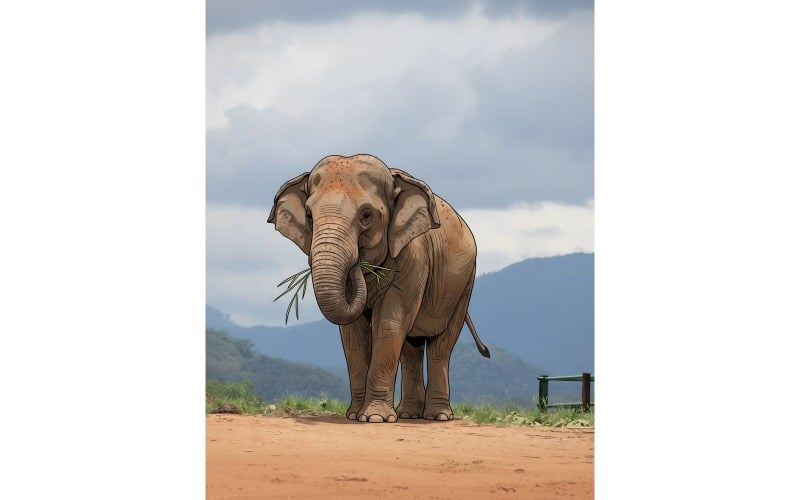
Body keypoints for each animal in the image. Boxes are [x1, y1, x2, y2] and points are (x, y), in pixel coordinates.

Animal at [267, 154, 489, 423]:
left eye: (366, 215)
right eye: (309, 215)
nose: (357, 262)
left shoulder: (413, 256)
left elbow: (390, 322)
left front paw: (375, 418)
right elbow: (352, 333)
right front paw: (354, 416)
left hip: (464, 285)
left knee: (441, 346)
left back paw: (437, 416)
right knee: (411, 348)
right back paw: (408, 415)